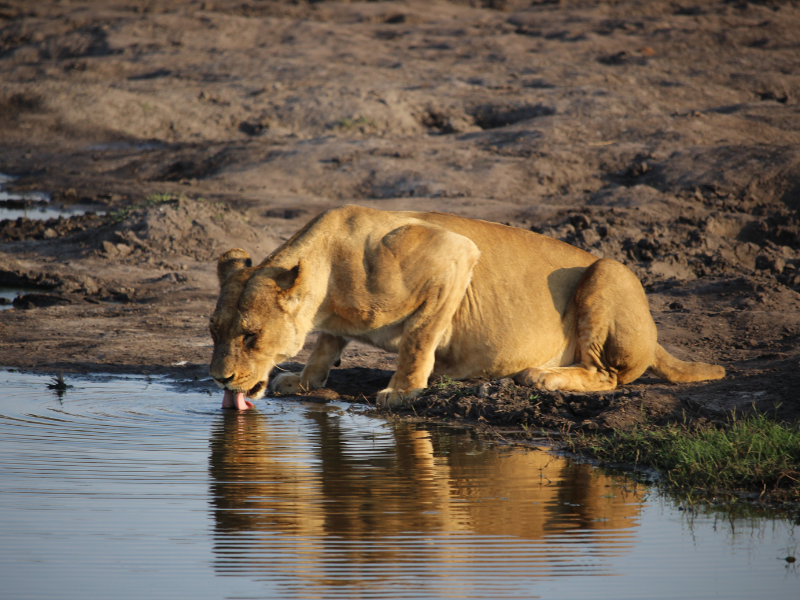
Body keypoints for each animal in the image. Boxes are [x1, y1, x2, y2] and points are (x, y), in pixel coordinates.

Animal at [209, 205, 724, 409]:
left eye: (250, 336)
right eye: (215, 332)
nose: (219, 379)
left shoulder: (454, 254)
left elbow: (419, 338)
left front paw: (404, 391)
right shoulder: (333, 322)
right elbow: (324, 345)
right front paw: (303, 379)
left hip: (609, 270)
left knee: (606, 375)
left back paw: (542, 376)